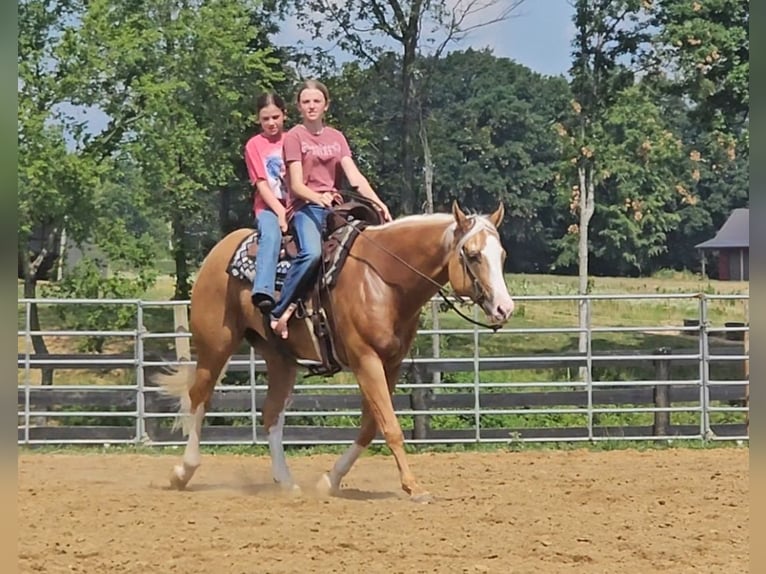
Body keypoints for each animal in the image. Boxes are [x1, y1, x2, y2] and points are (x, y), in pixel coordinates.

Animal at [155, 202, 516, 504]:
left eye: (502, 255)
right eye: (472, 254)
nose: (504, 308)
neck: (383, 278)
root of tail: (221, 249)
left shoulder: (391, 363)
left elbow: (371, 425)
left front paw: (330, 480)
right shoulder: (365, 359)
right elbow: (390, 426)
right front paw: (414, 488)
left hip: (280, 358)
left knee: (271, 414)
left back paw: (287, 483)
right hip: (215, 344)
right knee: (199, 396)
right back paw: (182, 471)